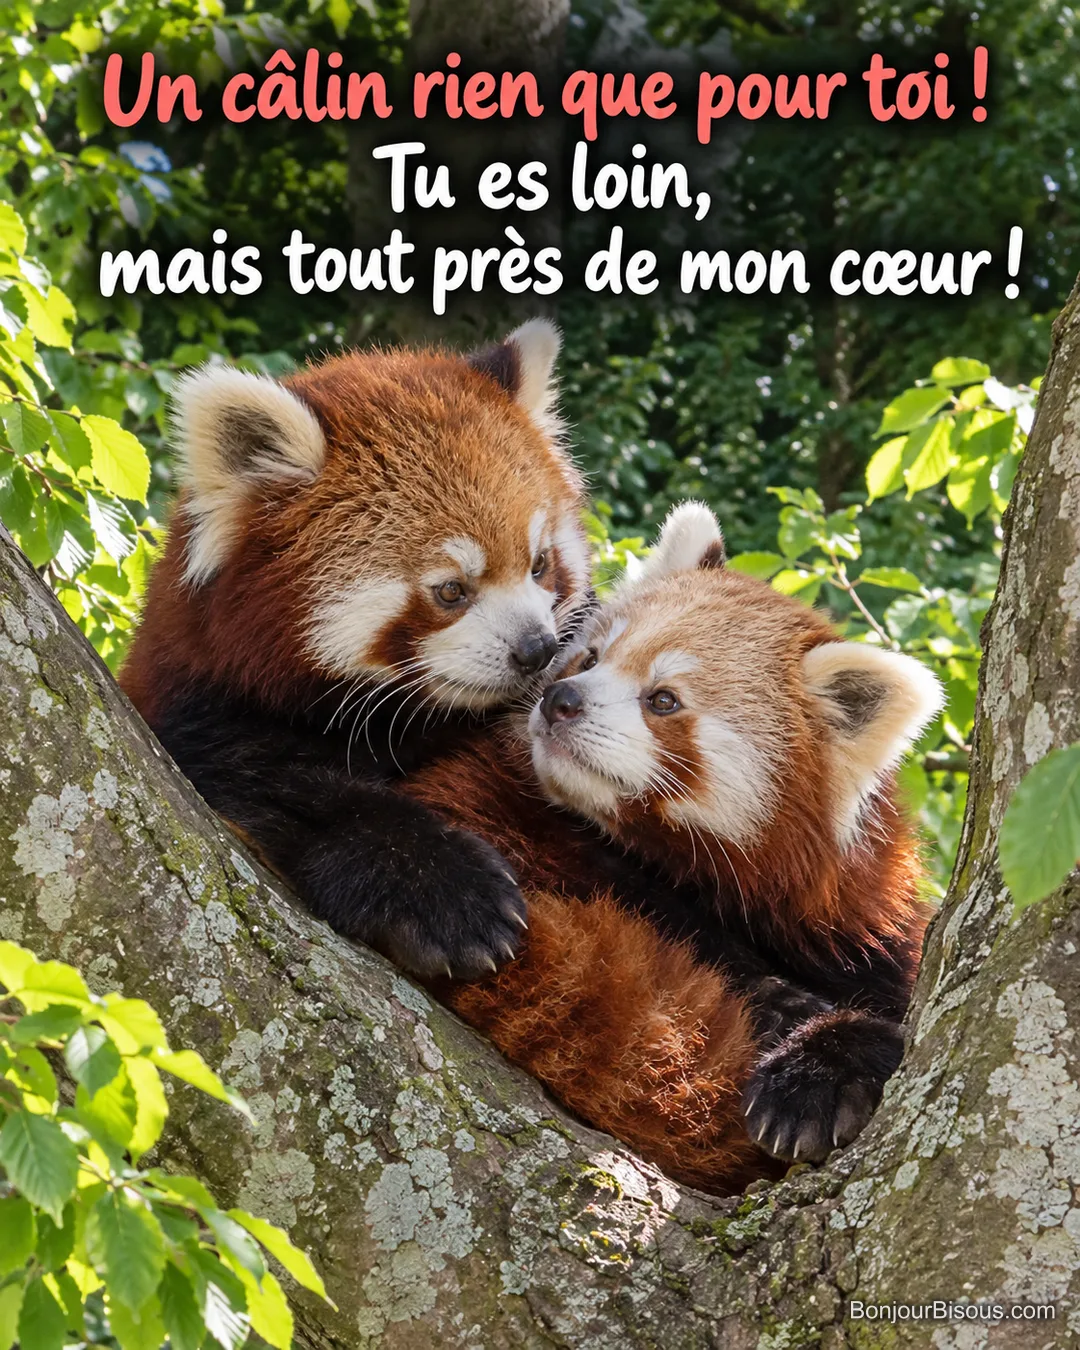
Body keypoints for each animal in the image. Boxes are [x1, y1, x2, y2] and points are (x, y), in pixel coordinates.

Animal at [120, 321, 594, 981]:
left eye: (540, 564)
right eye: (451, 590)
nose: (537, 649)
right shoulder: (196, 711)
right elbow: (290, 792)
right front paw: (446, 894)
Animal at [399, 503, 944, 1193]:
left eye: (663, 700)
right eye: (589, 659)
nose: (559, 699)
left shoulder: (868, 932)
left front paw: (816, 1077)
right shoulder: (520, 818)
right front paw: (784, 1006)